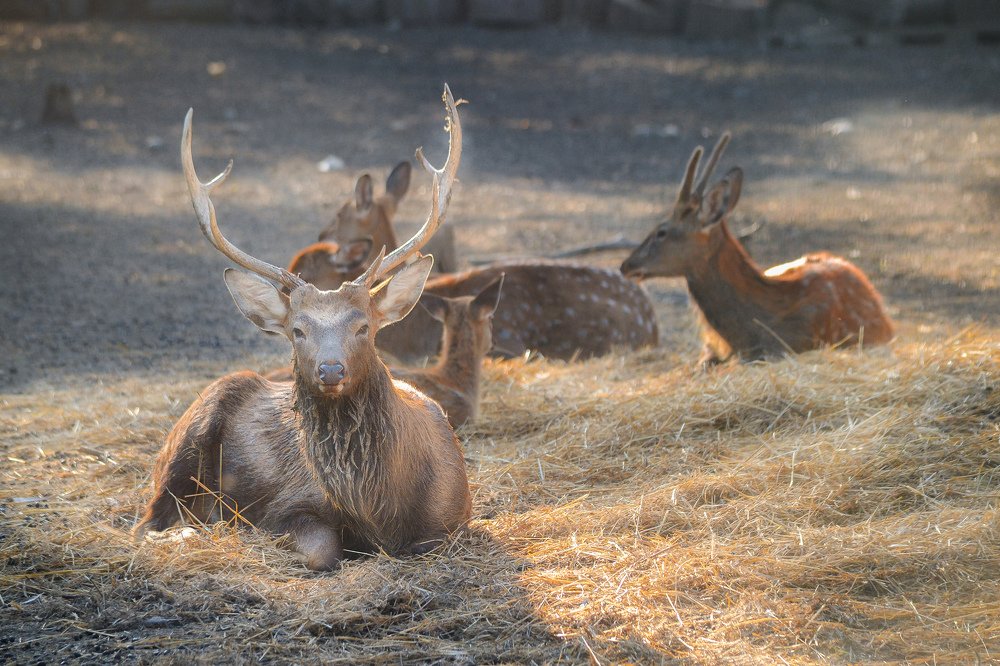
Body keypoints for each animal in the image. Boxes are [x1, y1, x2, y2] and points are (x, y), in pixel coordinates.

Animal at [134, 86, 470, 571]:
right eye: (297, 330)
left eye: (364, 326)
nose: (330, 370)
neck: (377, 507)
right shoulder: (287, 503)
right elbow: (321, 550)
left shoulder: (452, 518)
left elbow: (427, 544)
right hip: (189, 432)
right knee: (146, 522)